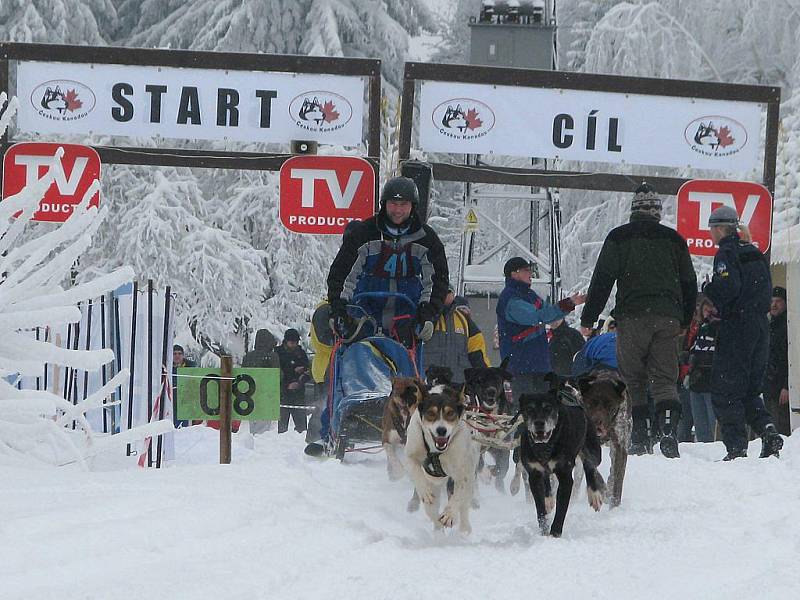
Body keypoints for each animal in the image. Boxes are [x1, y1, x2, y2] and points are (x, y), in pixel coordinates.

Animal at [406, 384, 482, 536]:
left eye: (450, 413)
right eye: (431, 413)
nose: (441, 430)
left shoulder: (463, 473)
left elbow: (457, 497)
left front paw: (449, 515)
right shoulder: (411, 455)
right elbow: (417, 472)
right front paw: (424, 491)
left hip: (470, 471)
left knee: (464, 503)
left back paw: (464, 528)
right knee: (432, 511)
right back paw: (438, 532)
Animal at [516, 372, 604, 536]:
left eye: (548, 408)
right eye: (529, 409)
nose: (539, 423)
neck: (546, 445)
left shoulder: (565, 476)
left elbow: (561, 510)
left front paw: (555, 532)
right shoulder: (534, 474)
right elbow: (540, 509)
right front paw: (544, 530)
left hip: (593, 450)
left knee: (590, 466)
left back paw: (594, 495)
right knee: (547, 480)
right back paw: (549, 500)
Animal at [576, 370, 632, 506]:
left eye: (609, 405)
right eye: (590, 404)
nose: (597, 423)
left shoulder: (620, 444)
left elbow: (617, 479)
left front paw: (614, 505)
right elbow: (593, 468)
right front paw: (601, 487)